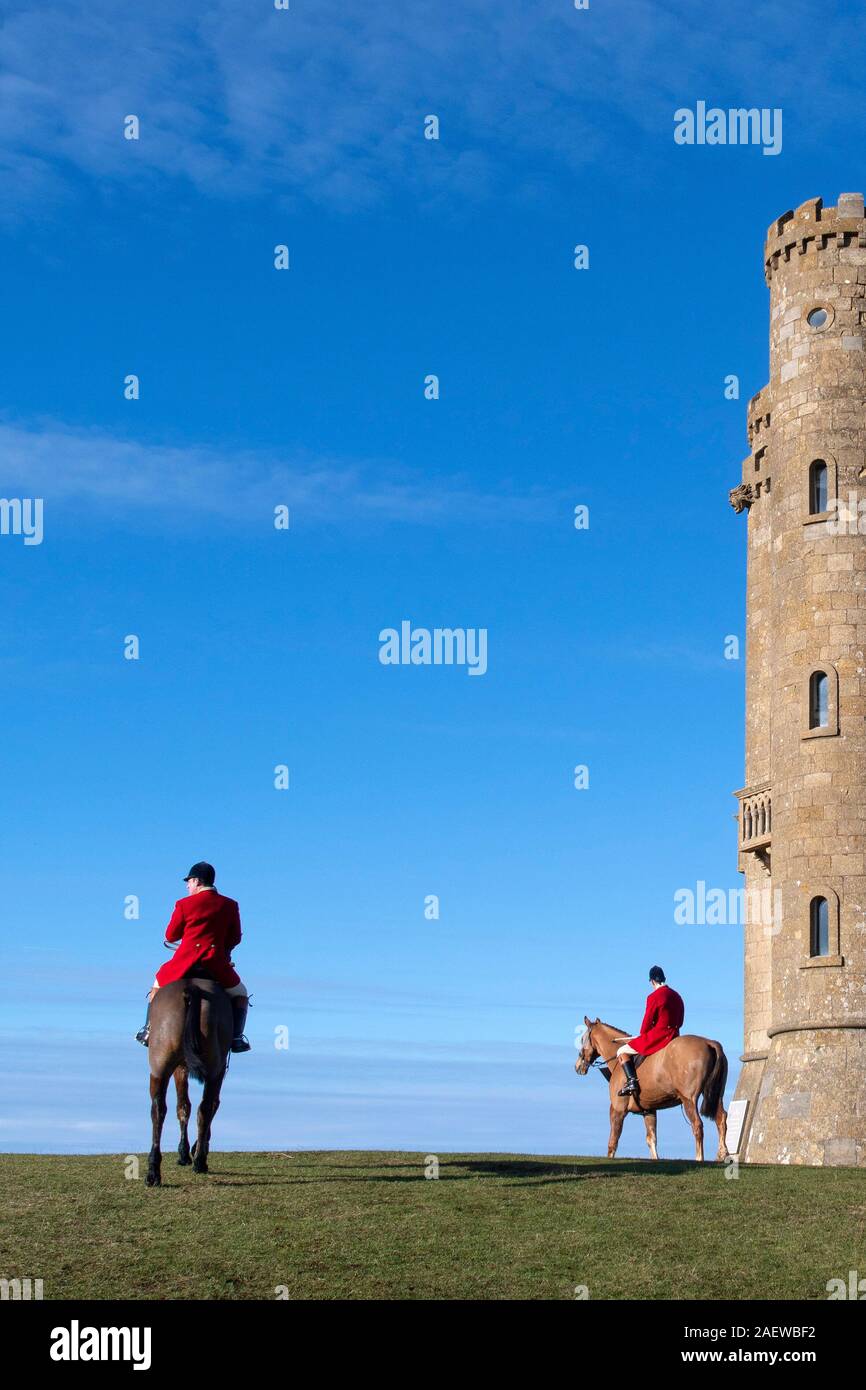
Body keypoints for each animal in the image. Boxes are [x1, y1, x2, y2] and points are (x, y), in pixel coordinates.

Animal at [146, 973, 233, 1189]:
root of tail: (192, 988)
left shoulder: (181, 1068)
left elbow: (183, 1106)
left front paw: (185, 1152)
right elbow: (192, 1106)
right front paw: (191, 1149)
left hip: (160, 1067)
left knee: (158, 1109)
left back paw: (154, 1171)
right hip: (214, 1067)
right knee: (206, 1107)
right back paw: (199, 1159)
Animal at [578, 1011, 728, 1162]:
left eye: (582, 1038)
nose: (578, 1066)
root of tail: (709, 1042)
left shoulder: (617, 1109)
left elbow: (613, 1141)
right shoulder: (649, 1110)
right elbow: (651, 1139)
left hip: (689, 1099)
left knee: (697, 1125)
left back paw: (699, 1158)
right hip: (717, 1096)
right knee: (721, 1119)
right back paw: (722, 1154)